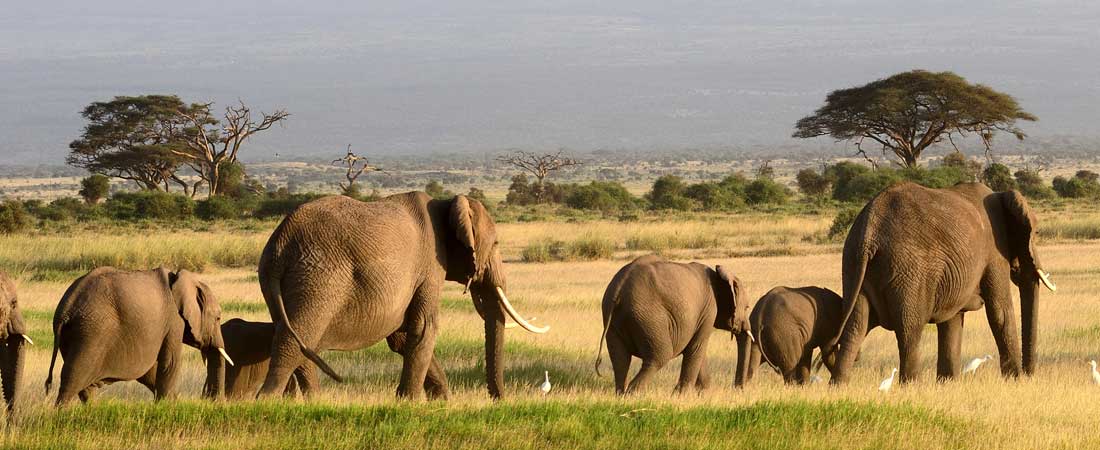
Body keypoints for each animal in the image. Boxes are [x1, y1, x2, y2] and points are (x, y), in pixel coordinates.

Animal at [45, 265, 232, 404]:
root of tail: (65, 309)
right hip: (91, 331)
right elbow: (170, 363)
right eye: (218, 318)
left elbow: (149, 370)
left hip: (75, 334)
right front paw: (166, 406)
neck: (182, 279)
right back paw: (62, 413)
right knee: (73, 379)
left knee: (85, 387)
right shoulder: (174, 321)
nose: (211, 401)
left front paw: (170, 402)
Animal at [258, 191, 550, 398]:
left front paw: (442, 401)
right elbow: (424, 328)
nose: (499, 400)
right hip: (318, 279)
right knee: (297, 338)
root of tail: (280, 244)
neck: (448, 204)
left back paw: (314, 402)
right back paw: (268, 399)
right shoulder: (430, 266)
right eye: (497, 243)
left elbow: (402, 337)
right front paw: (410, 402)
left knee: (295, 340)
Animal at [594, 256, 756, 391]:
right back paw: (632, 395)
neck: (720, 276)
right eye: (747, 307)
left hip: (615, 319)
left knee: (620, 360)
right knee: (660, 356)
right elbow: (697, 348)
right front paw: (681, 395)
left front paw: (704, 393)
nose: (739, 389)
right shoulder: (709, 310)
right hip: (649, 316)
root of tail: (619, 288)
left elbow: (697, 349)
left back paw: (621, 395)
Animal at [831, 180, 1056, 385]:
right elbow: (1000, 312)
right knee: (909, 330)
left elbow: (953, 320)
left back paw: (839, 386)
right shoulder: (994, 250)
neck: (1001, 195)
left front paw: (947, 383)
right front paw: (1015, 381)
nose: (1029, 375)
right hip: (909, 270)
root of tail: (869, 230)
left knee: (855, 328)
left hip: (852, 264)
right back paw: (911, 387)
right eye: (1034, 234)